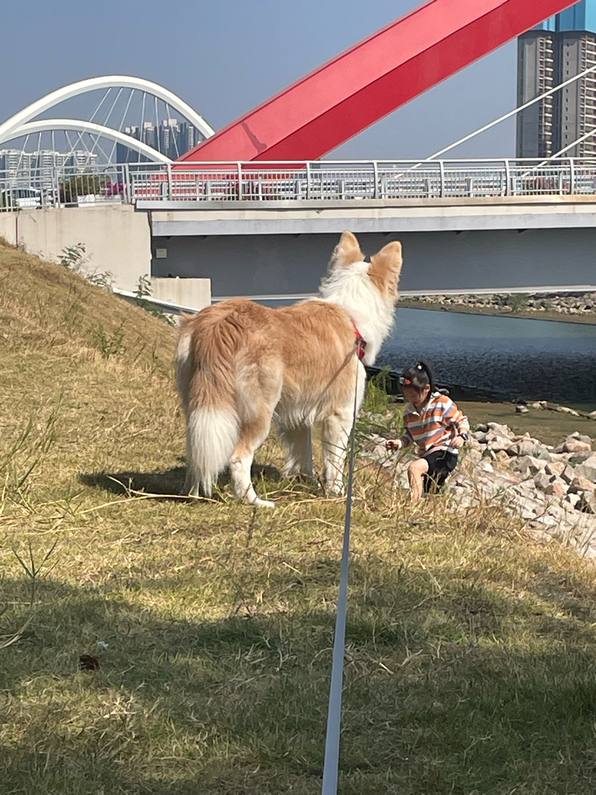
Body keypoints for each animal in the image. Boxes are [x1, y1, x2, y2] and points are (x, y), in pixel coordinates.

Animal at [175, 231, 402, 507]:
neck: (350, 313)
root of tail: (221, 324)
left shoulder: (297, 415)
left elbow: (304, 453)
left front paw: (306, 482)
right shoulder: (341, 413)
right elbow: (335, 461)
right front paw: (336, 492)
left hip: (199, 406)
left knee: (197, 452)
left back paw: (192, 492)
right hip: (258, 411)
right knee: (239, 458)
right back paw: (254, 501)